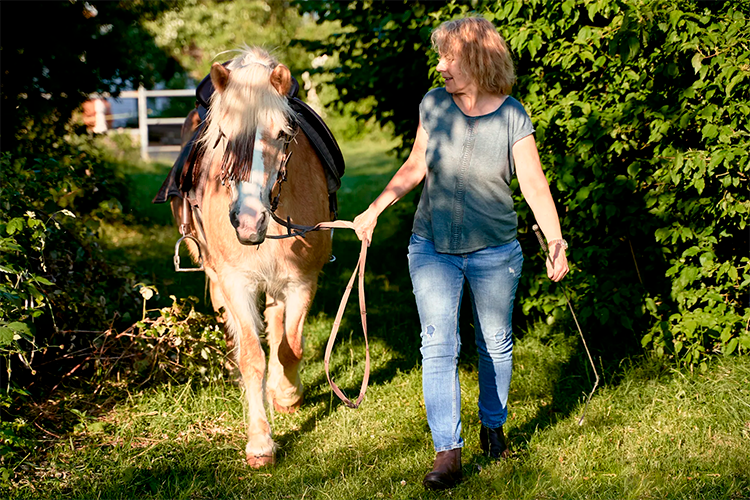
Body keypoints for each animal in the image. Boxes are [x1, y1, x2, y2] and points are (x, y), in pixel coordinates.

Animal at [175, 47, 334, 464]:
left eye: (282, 134)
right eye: (224, 136)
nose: (248, 222)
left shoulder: (302, 280)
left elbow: (290, 347)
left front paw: (288, 394)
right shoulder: (235, 282)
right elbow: (252, 357)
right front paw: (260, 441)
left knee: (278, 326)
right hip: (217, 275)